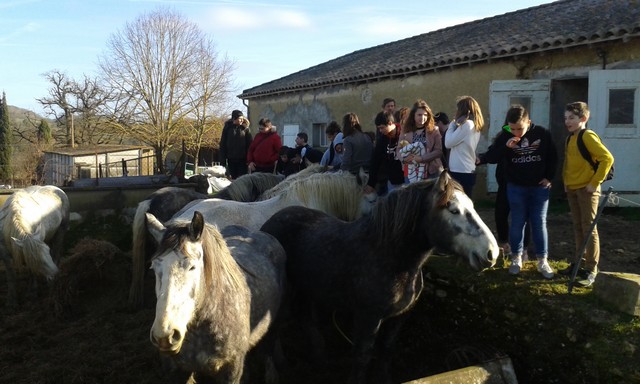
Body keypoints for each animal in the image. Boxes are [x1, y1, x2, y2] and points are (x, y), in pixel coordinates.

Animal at [260, 172, 500, 384]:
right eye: (453, 210)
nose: (491, 253)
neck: (389, 256)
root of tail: (269, 224)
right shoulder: (368, 317)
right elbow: (363, 356)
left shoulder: (399, 317)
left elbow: (386, 351)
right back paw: (279, 368)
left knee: (304, 318)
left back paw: (318, 357)